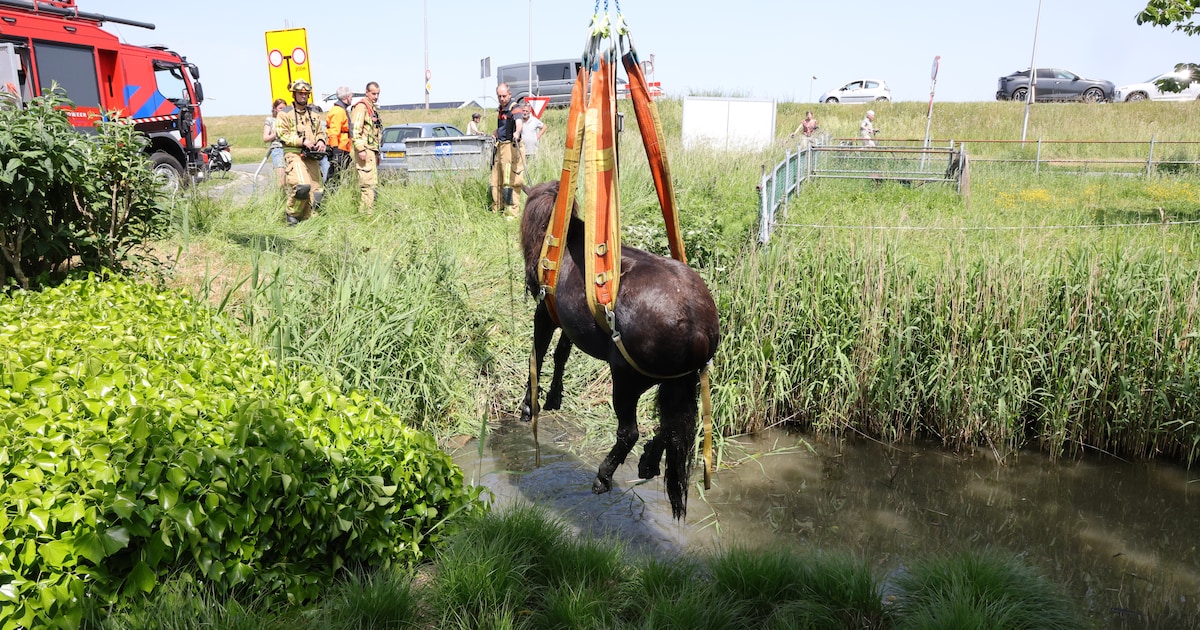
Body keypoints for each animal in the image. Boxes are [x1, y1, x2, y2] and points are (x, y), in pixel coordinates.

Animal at [519, 180, 721, 519]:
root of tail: (696, 326)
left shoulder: (545, 313)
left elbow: (539, 353)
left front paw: (528, 405)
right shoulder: (572, 322)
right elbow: (561, 354)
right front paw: (554, 396)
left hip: (627, 381)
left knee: (630, 432)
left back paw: (604, 476)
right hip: (679, 381)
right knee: (673, 426)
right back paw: (649, 461)